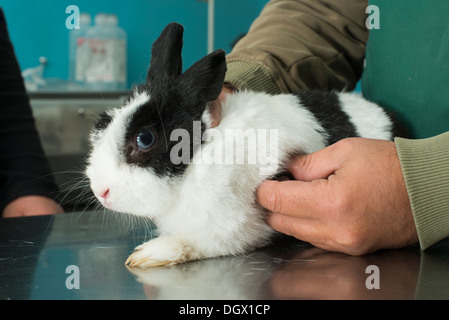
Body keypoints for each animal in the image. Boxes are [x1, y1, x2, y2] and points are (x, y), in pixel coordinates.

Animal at [84, 23, 400, 268]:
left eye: (145, 138)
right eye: (104, 120)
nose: (101, 192)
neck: (199, 162)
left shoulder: (233, 227)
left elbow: (201, 244)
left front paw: (149, 254)